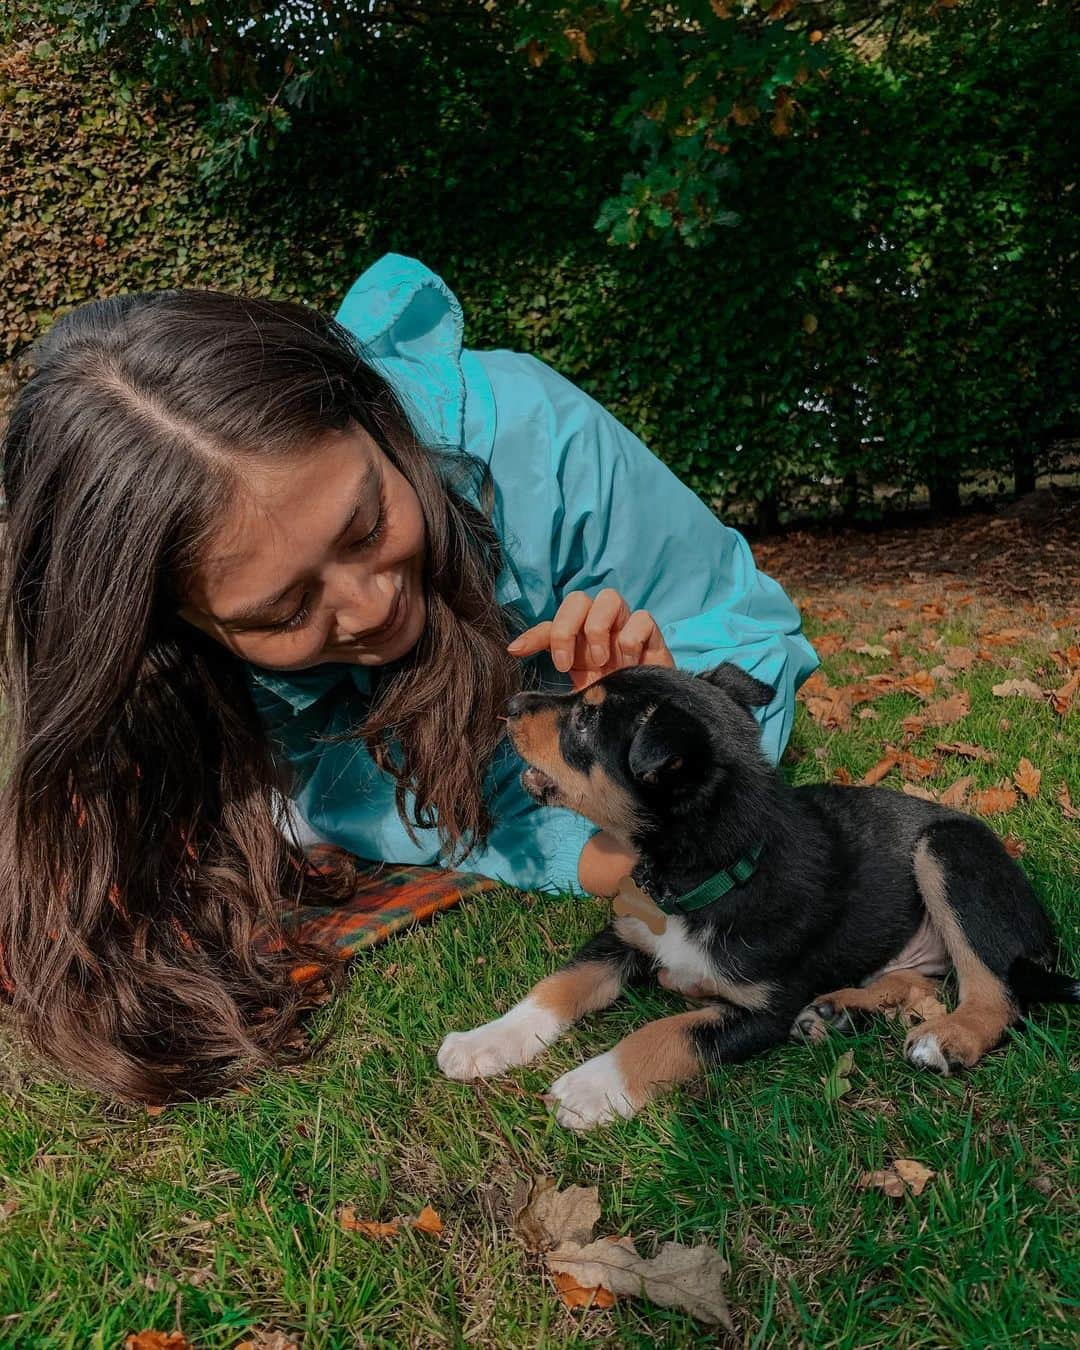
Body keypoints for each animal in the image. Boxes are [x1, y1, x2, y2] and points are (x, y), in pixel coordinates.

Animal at [434, 664, 1074, 1128]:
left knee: (996, 994)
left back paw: (948, 1039)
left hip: (948, 851)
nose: (510, 705)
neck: (704, 874)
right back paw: (837, 1013)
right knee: (927, 983)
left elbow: (668, 1032)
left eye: (587, 721)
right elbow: (556, 987)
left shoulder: (765, 1008)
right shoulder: (622, 935)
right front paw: (483, 1043)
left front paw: (592, 1086)